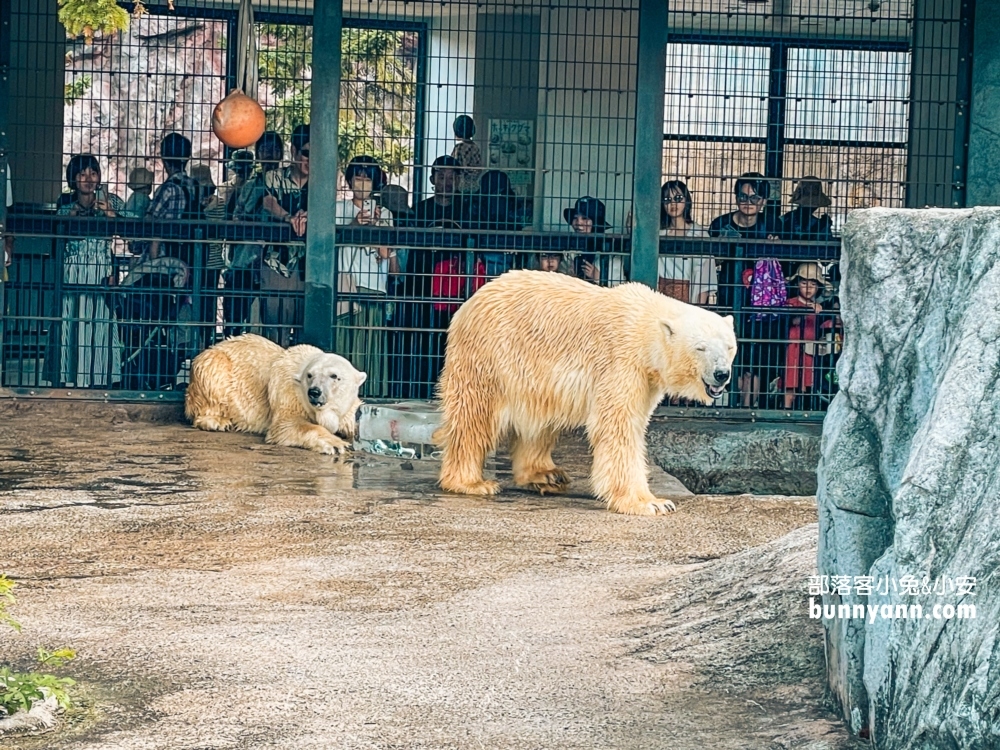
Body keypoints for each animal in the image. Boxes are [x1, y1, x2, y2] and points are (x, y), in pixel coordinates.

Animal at [185, 336, 368, 456]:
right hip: (214, 367)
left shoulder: (348, 409)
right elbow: (286, 424)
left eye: (334, 376)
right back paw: (217, 422)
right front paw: (337, 444)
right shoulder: (288, 392)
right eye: (310, 375)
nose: (314, 392)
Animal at [434, 272, 740, 516]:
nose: (721, 374)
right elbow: (619, 425)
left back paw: (546, 475)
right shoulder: (622, 362)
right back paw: (471, 482)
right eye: (700, 347)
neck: (644, 325)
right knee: (475, 415)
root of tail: (469, 303)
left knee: (539, 419)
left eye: (729, 346)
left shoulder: (645, 378)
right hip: (490, 355)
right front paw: (650, 503)